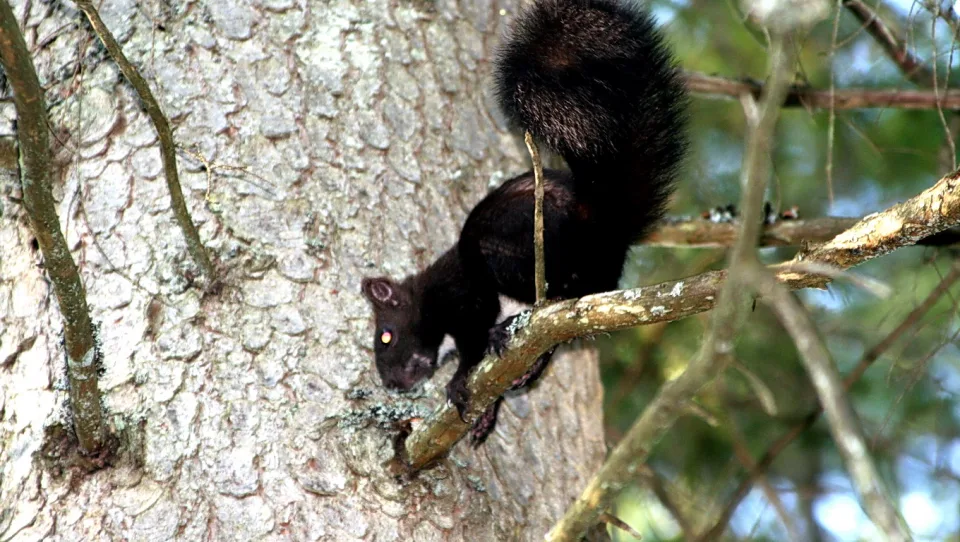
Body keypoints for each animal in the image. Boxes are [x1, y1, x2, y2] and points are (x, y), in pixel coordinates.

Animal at [362, 0, 687, 442]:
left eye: (386, 336)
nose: (393, 384)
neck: (428, 297)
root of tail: (604, 222)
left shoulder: (465, 296)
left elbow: (473, 343)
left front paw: (460, 381)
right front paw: (487, 413)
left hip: (514, 251)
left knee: (553, 295)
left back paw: (512, 325)